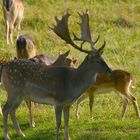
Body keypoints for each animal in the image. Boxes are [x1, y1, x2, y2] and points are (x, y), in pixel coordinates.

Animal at [0, 10, 111, 140]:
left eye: (103, 58)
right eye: (97, 60)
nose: (109, 70)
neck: (73, 85)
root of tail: (5, 66)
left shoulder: (68, 103)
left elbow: (67, 121)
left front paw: (68, 137)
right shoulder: (58, 101)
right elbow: (58, 122)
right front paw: (58, 137)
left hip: (20, 94)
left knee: (12, 110)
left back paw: (21, 133)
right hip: (13, 89)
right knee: (6, 109)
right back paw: (7, 136)